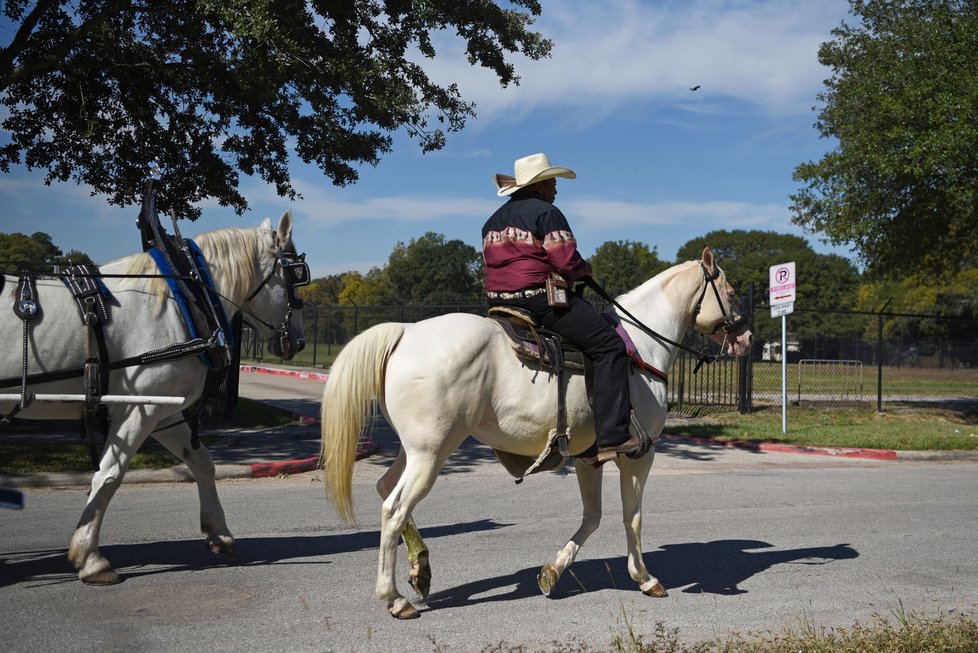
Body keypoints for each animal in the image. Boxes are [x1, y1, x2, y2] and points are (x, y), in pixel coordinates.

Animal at [0, 213, 304, 580]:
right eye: (298, 274)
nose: (300, 341)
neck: (184, 296)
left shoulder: (165, 411)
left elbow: (202, 462)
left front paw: (219, 532)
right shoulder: (139, 408)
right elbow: (109, 476)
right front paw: (90, 557)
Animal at [316, 246, 752, 616]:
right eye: (731, 292)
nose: (747, 338)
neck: (641, 349)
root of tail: (405, 331)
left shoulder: (589, 458)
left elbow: (593, 516)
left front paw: (553, 572)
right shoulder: (638, 454)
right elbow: (633, 517)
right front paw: (645, 579)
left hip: (414, 451)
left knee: (385, 488)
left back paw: (420, 570)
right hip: (431, 453)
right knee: (394, 508)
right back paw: (394, 598)